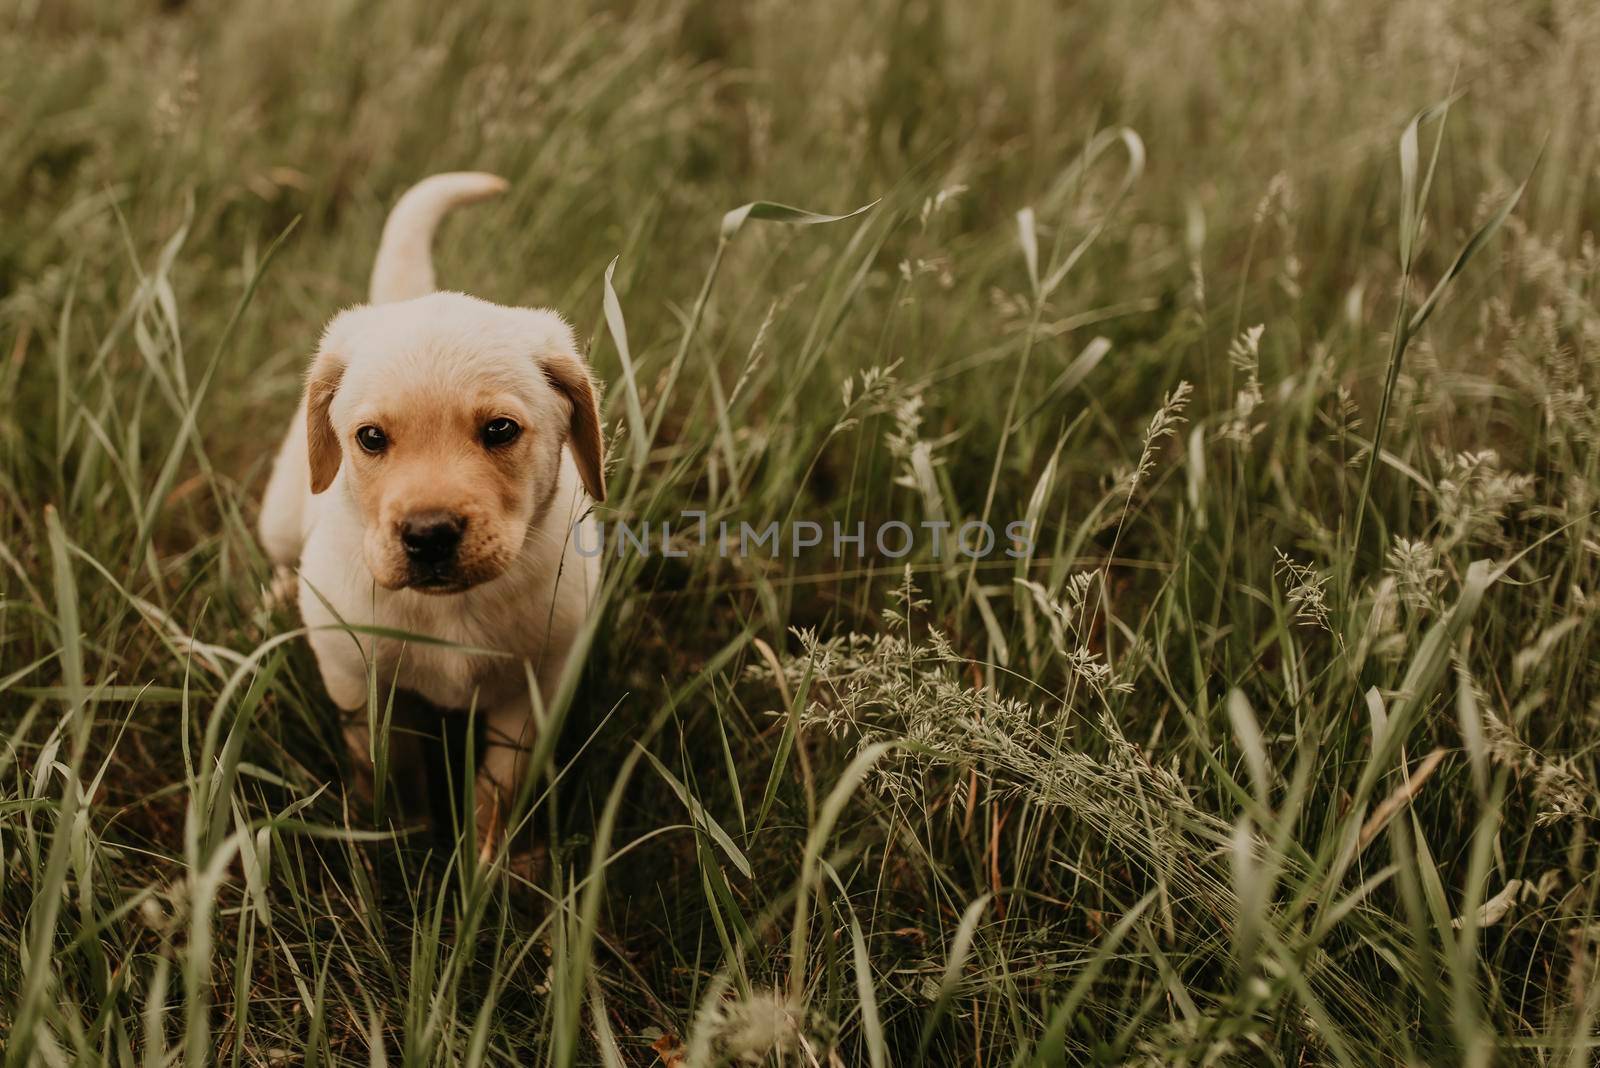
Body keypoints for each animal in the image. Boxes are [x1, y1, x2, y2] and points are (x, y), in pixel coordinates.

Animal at [262, 175, 601, 837]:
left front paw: (493, 857)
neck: (453, 610)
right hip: (283, 511)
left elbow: (499, 787)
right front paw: (397, 833)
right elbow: (386, 767)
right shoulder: (357, 680)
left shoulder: (536, 690)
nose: (429, 535)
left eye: (500, 430)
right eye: (371, 438)